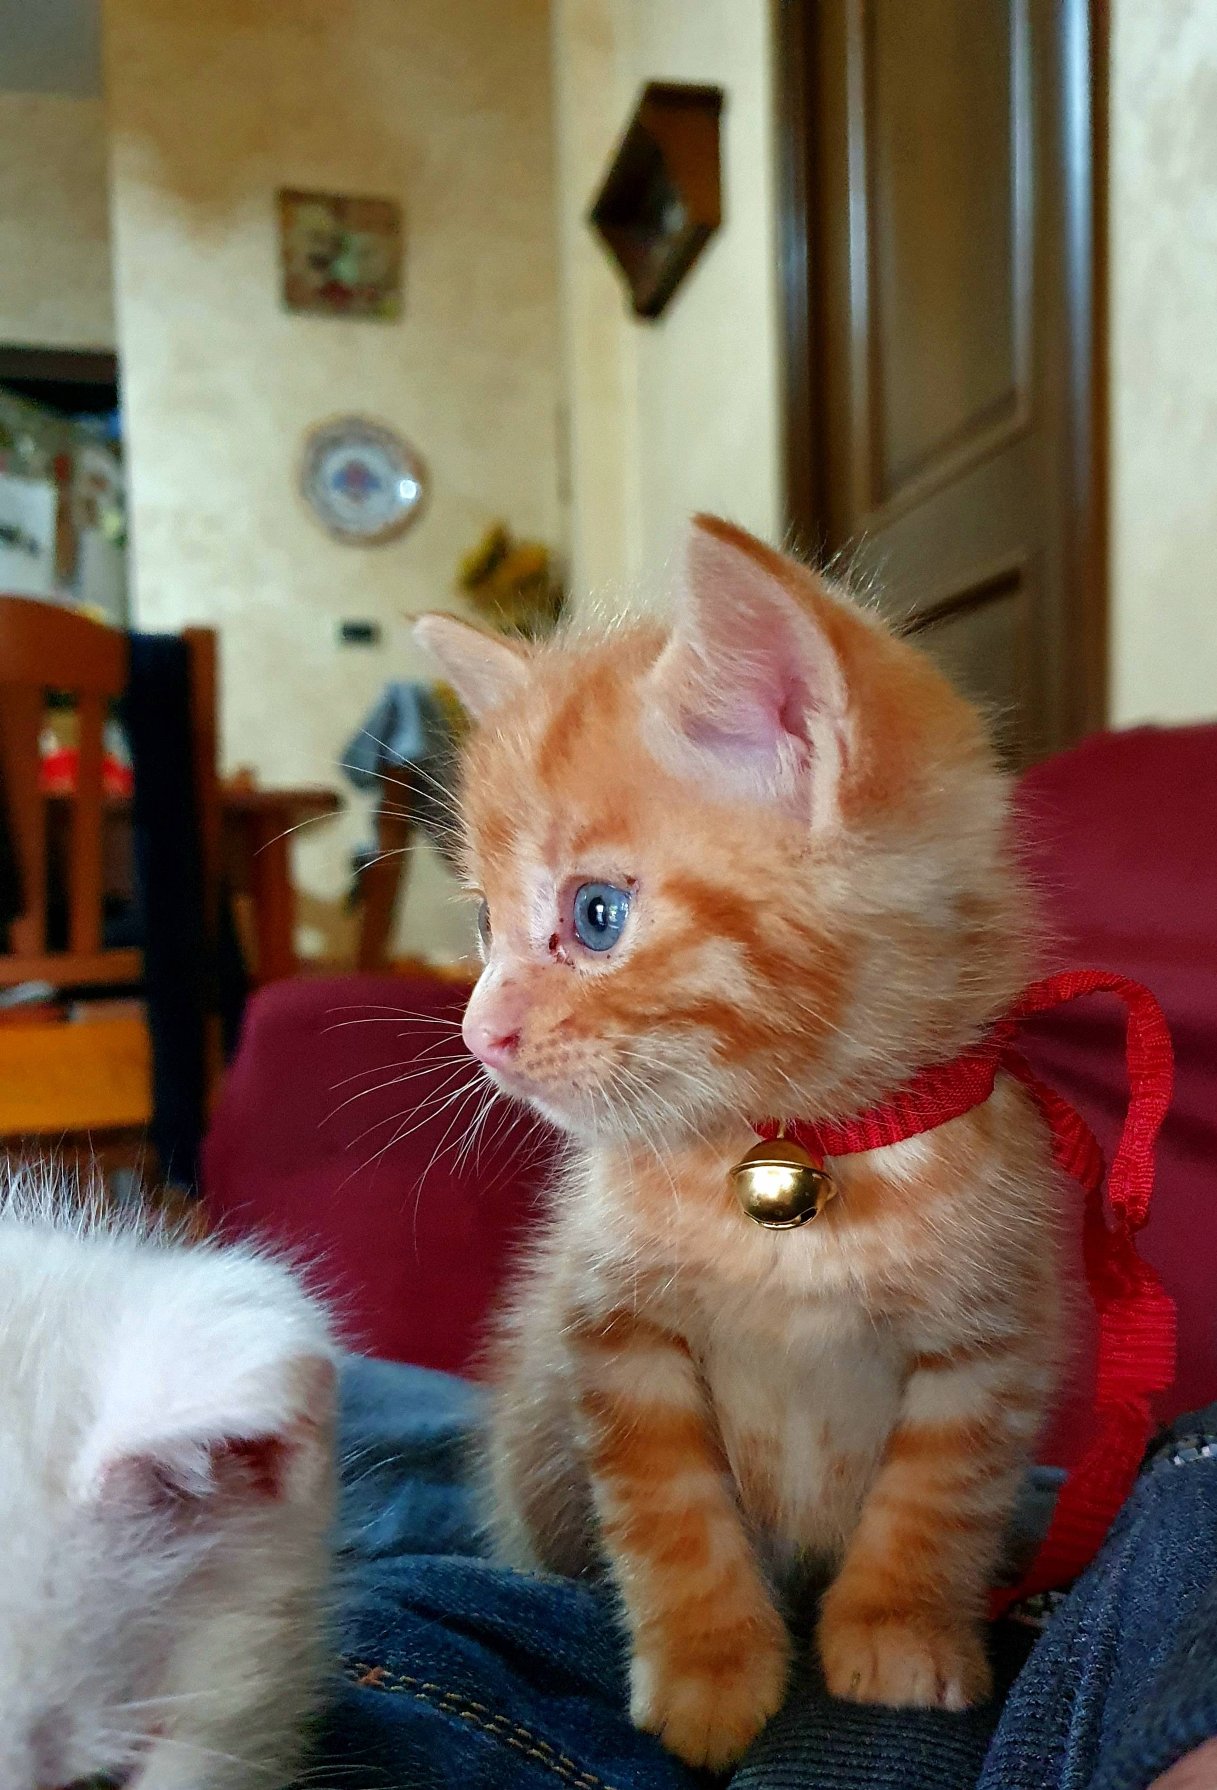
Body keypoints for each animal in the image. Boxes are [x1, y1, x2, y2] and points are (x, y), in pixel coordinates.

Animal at [415, 515, 1064, 1771]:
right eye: (479, 922)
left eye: (596, 916)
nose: (478, 1031)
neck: (785, 1156)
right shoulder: (612, 1330)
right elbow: (668, 1514)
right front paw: (709, 1673)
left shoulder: (993, 1338)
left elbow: (938, 1495)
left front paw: (896, 1630)